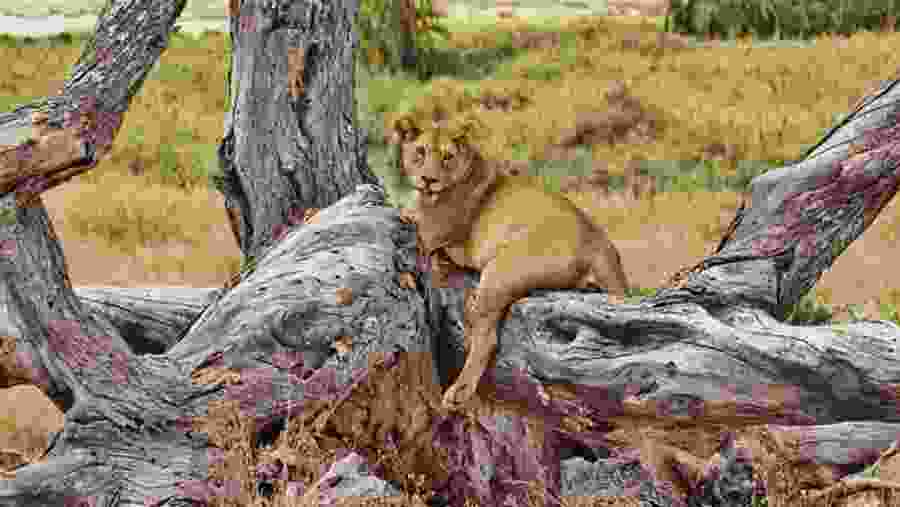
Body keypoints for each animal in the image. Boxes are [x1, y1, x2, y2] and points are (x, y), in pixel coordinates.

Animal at [393, 116, 629, 411]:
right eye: (420, 152)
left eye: (447, 157)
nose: (429, 179)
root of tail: (596, 236)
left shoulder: (427, 231)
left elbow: (401, 218)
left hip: (500, 271)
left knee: (487, 338)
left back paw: (459, 392)